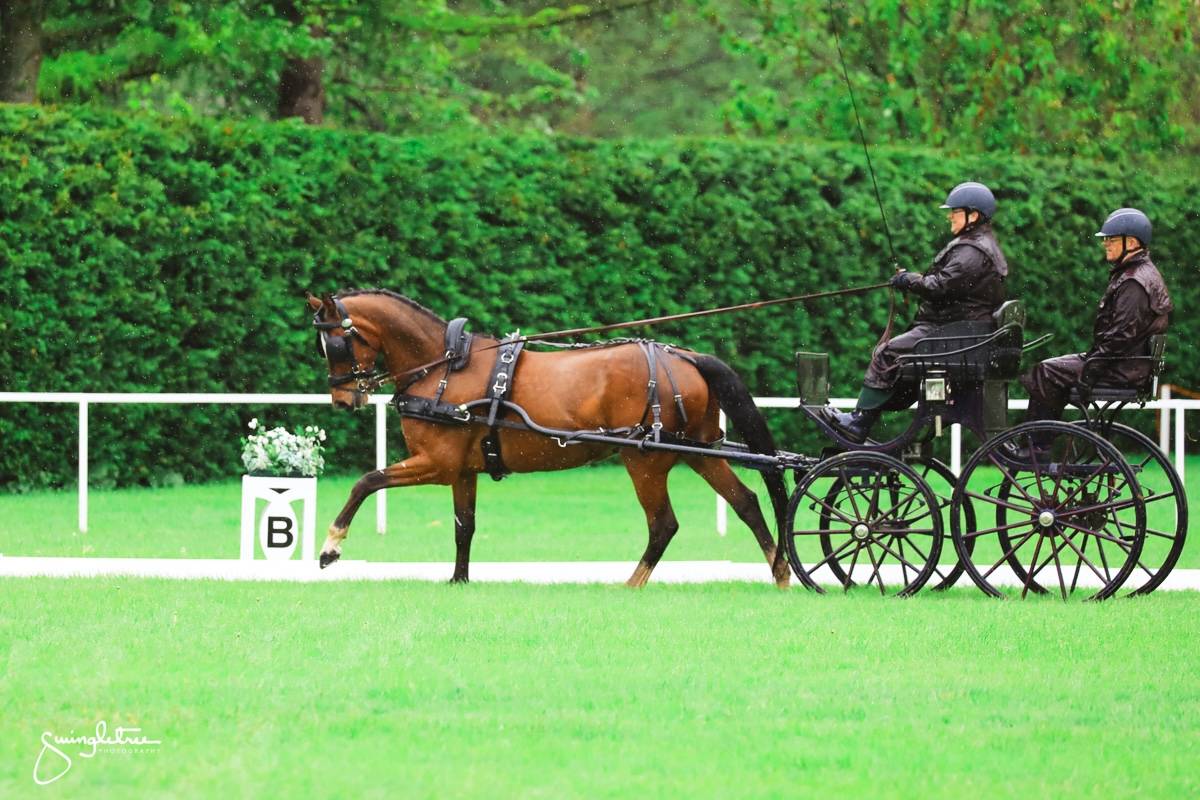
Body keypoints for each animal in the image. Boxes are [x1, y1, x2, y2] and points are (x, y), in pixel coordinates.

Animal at [306, 289, 791, 588]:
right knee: (747, 503)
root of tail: (686, 357)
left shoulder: (437, 464)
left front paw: (330, 547)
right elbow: (465, 526)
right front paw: (459, 580)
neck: (444, 367)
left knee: (664, 524)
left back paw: (632, 583)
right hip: (699, 452)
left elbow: (367, 481)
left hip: (644, 460)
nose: (344, 399)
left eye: (336, 344)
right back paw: (781, 571)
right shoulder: (462, 470)